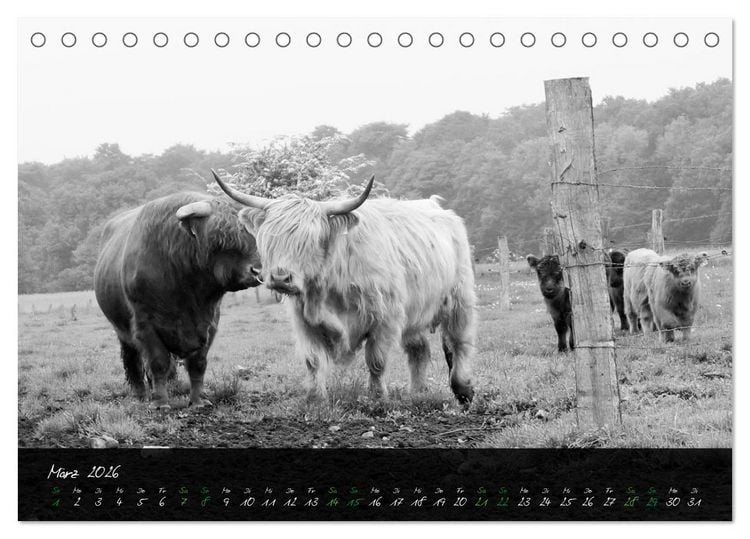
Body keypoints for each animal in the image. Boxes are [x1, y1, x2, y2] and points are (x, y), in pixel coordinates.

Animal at [94, 192, 262, 409]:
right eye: (220, 239)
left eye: (251, 234)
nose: (257, 271)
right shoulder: (145, 324)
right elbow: (158, 363)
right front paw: (161, 402)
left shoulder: (210, 323)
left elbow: (198, 364)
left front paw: (198, 400)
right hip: (121, 329)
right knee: (133, 360)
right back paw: (142, 394)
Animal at [212, 171, 477, 405]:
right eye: (269, 238)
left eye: (310, 240)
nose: (280, 278)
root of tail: (436, 206)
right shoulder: (305, 321)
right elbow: (313, 361)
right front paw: (315, 399)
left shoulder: (385, 318)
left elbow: (376, 361)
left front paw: (378, 397)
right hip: (416, 310)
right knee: (419, 349)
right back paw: (418, 391)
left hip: (460, 298)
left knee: (459, 341)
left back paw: (463, 389)